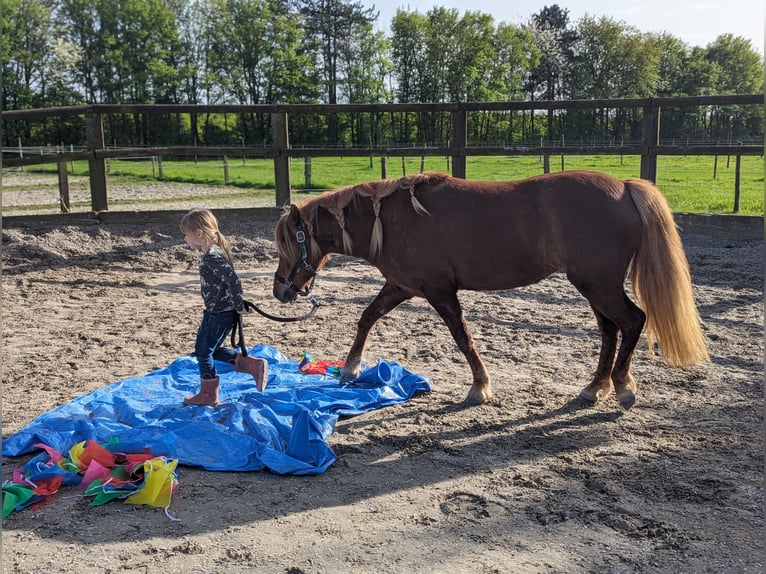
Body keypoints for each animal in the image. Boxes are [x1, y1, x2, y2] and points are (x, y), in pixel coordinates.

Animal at [272, 170, 708, 410]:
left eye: (291, 243)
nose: (280, 292)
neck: (393, 221)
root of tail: (624, 187)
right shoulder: (402, 286)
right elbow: (367, 317)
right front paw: (349, 369)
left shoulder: (439, 292)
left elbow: (463, 337)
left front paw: (479, 388)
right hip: (595, 286)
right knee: (610, 330)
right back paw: (594, 387)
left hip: (598, 284)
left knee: (633, 321)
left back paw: (622, 388)